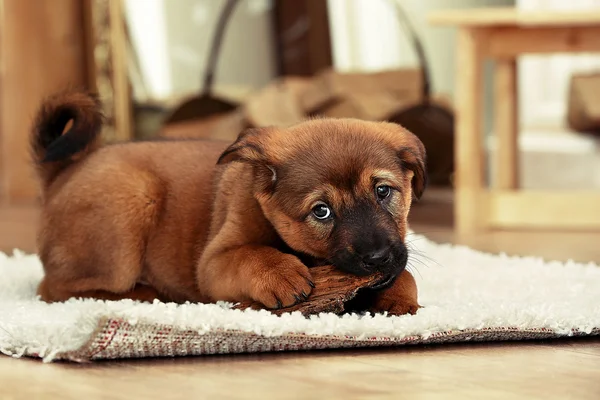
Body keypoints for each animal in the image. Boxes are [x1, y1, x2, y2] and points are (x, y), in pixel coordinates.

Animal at [30, 90, 424, 316]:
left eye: (383, 192)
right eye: (321, 211)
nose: (377, 258)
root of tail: (63, 171)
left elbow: (405, 274)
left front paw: (398, 298)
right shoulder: (214, 262)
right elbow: (251, 255)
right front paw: (281, 273)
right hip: (128, 211)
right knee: (54, 289)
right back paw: (147, 294)